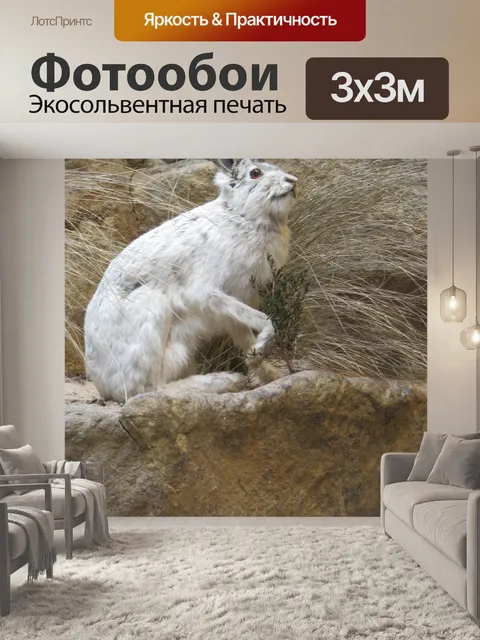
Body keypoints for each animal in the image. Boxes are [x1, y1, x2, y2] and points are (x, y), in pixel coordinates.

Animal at [84, 159, 298, 403]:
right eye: (255, 173)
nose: (293, 181)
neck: (241, 215)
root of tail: (103, 386)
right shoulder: (207, 291)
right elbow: (266, 320)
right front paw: (261, 350)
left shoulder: (231, 307)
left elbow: (245, 338)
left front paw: (268, 371)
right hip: (150, 311)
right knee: (147, 390)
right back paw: (225, 380)